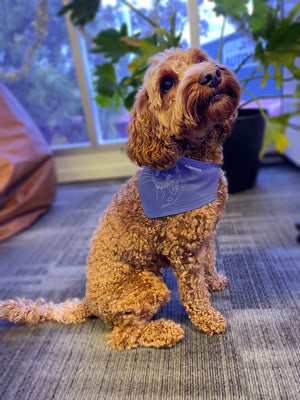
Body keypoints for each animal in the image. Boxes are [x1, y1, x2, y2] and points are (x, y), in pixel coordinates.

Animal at [0, 47, 239, 348]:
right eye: (167, 83)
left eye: (199, 59)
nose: (211, 74)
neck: (194, 161)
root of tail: (88, 302)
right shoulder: (183, 251)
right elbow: (194, 293)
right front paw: (209, 319)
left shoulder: (204, 236)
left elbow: (209, 261)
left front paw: (214, 281)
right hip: (147, 286)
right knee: (123, 334)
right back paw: (164, 331)